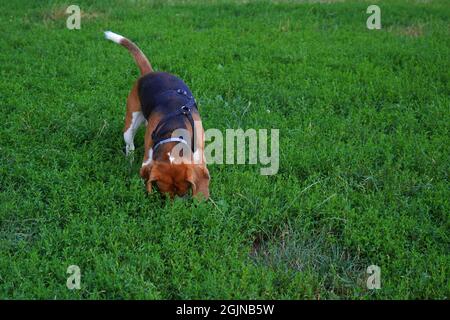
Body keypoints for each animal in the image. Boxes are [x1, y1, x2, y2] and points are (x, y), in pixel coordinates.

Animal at [104, 31, 210, 199]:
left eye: (184, 193)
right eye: (164, 195)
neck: (174, 129)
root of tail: (149, 73)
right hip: (130, 123)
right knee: (130, 145)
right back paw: (129, 162)